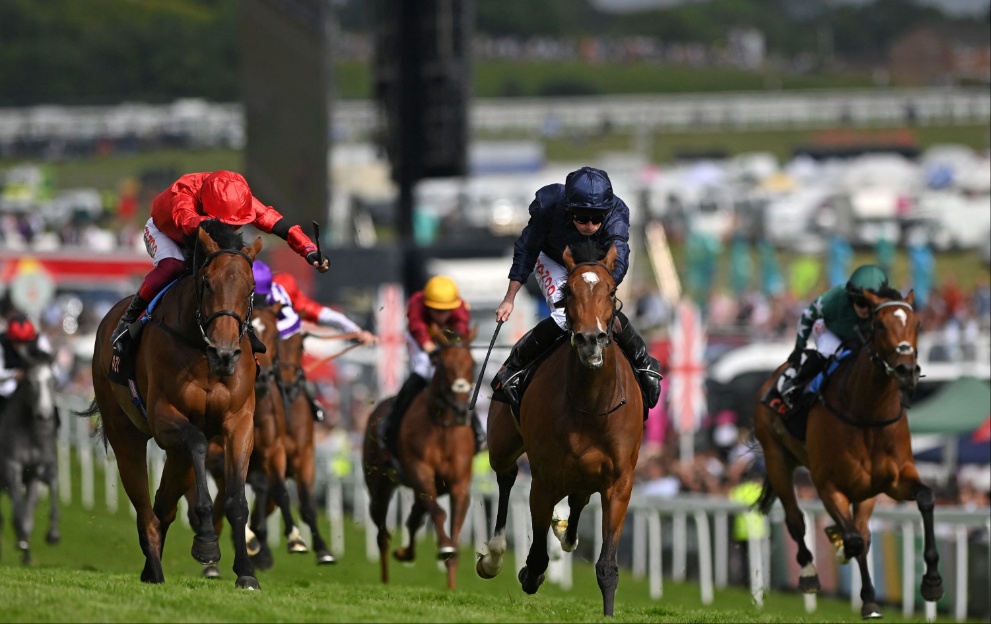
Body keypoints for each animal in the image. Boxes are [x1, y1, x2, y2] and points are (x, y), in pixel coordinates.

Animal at [0, 352, 60, 564]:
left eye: (52, 381)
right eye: (30, 382)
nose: (44, 415)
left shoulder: (38, 470)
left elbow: (52, 484)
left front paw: (53, 533)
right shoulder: (12, 466)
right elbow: (19, 511)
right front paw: (22, 540)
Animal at [79, 221, 262, 588]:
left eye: (250, 289)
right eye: (207, 283)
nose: (225, 354)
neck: (202, 351)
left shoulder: (240, 422)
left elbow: (236, 499)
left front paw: (247, 573)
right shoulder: (165, 418)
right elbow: (198, 441)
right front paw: (206, 544)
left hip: (177, 457)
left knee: (163, 506)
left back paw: (152, 570)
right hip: (125, 432)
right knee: (145, 510)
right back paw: (155, 570)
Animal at [364, 324, 480, 592]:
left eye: (473, 364)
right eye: (443, 365)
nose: (461, 411)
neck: (444, 428)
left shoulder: (458, 483)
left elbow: (453, 523)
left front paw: (451, 583)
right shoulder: (420, 472)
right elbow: (439, 513)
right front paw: (445, 547)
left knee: (414, 518)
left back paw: (406, 553)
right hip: (379, 485)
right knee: (382, 533)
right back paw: (385, 579)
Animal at [478, 241, 648, 616]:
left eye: (611, 290)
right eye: (568, 291)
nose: (590, 340)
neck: (592, 405)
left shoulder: (619, 483)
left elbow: (607, 566)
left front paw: (608, 613)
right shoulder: (544, 479)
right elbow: (537, 559)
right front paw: (528, 571)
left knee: (577, 501)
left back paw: (564, 529)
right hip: (501, 443)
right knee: (506, 476)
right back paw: (494, 555)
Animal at [756, 288, 940, 620]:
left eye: (918, 324)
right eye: (879, 326)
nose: (907, 371)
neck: (866, 413)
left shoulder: (895, 479)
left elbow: (926, 499)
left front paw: (932, 581)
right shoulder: (828, 485)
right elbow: (852, 539)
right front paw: (868, 599)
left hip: (866, 491)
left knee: (864, 533)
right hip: (776, 458)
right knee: (796, 519)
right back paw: (809, 573)